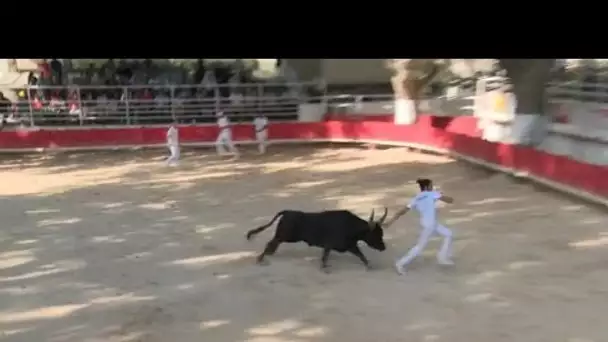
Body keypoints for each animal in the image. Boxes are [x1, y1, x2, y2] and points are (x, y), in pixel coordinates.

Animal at [245, 207, 388, 272]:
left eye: (381, 233)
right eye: (375, 234)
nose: (383, 248)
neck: (351, 226)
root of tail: (287, 211)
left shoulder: (351, 245)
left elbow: (360, 255)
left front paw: (369, 265)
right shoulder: (332, 244)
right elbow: (325, 256)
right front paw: (324, 267)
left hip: (285, 237)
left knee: (273, 243)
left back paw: (268, 254)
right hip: (286, 236)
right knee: (271, 242)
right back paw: (260, 258)